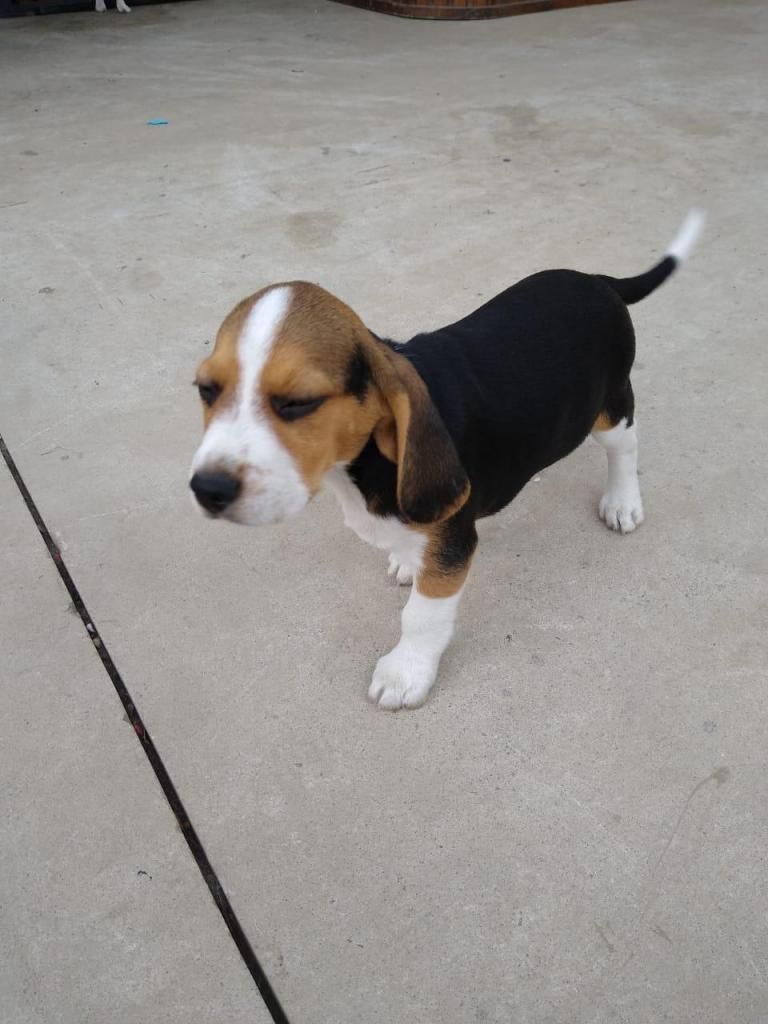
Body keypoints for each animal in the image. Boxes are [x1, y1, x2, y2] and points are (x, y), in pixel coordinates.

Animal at [189, 211, 708, 708]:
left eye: (299, 402)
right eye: (206, 390)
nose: (207, 489)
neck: (364, 462)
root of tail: (599, 280)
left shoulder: (453, 547)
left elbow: (422, 616)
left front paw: (406, 673)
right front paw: (405, 560)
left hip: (609, 407)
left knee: (625, 447)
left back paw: (622, 502)